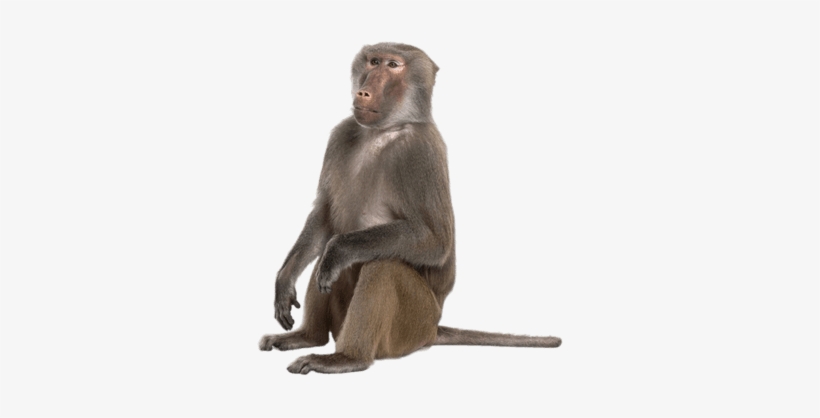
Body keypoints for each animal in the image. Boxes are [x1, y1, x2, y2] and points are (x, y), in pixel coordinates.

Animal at [259, 43, 561, 374]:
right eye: (373, 61)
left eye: (393, 65)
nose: (364, 92)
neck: (382, 131)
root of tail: (432, 329)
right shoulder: (340, 134)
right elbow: (324, 217)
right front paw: (285, 281)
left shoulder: (420, 151)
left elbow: (435, 241)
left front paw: (339, 250)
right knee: (325, 260)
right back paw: (308, 337)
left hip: (411, 325)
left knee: (382, 265)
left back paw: (347, 358)